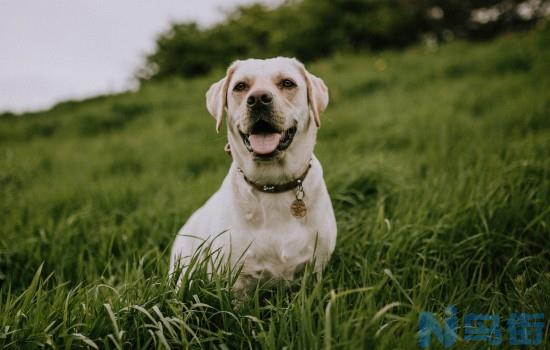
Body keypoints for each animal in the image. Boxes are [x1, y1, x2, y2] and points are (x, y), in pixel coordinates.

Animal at [170, 57, 338, 290]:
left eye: (287, 83)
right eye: (240, 86)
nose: (258, 99)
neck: (273, 185)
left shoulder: (317, 268)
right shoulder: (235, 280)